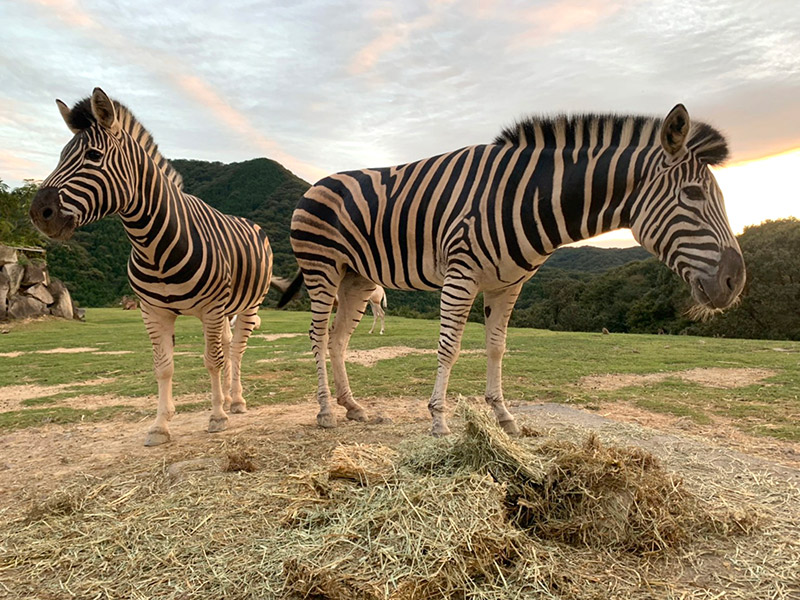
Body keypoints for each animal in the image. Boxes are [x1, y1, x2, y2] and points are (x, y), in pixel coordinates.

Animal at [30, 88, 278, 446]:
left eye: (93, 155)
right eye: (60, 155)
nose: (39, 213)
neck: (153, 245)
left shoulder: (211, 309)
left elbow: (212, 361)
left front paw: (216, 417)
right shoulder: (152, 311)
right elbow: (163, 367)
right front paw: (160, 425)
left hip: (248, 305)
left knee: (235, 351)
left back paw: (236, 402)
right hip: (225, 309)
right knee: (229, 344)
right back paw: (230, 400)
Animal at [280, 104, 744, 436]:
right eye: (693, 194)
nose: (736, 282)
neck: (528, 196)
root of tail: (315, 185)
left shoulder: (507, 284)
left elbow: (497, 348)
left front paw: (503, 416)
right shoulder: (462, 274)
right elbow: (449, 348)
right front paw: (438, 419)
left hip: (357, 278)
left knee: (338, 340)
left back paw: (353, 407)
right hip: (323, 269)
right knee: (318, 336)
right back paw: (326, 411)